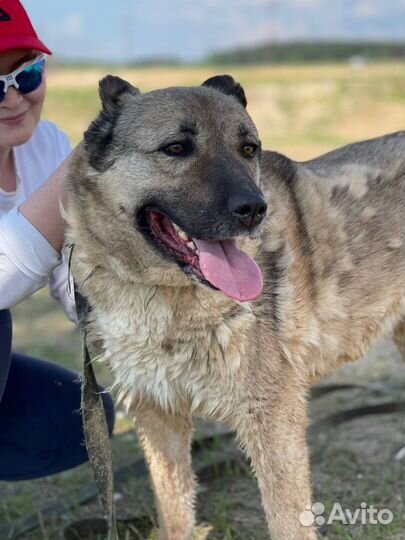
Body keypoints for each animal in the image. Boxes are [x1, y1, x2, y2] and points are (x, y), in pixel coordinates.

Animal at [64, 75, 402, 540]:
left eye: (248, 149)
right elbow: (174, 511)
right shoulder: (159, 415)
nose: (254, 209)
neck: (162, 293)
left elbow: (287, 521)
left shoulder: (273, 419)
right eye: (176, 148)